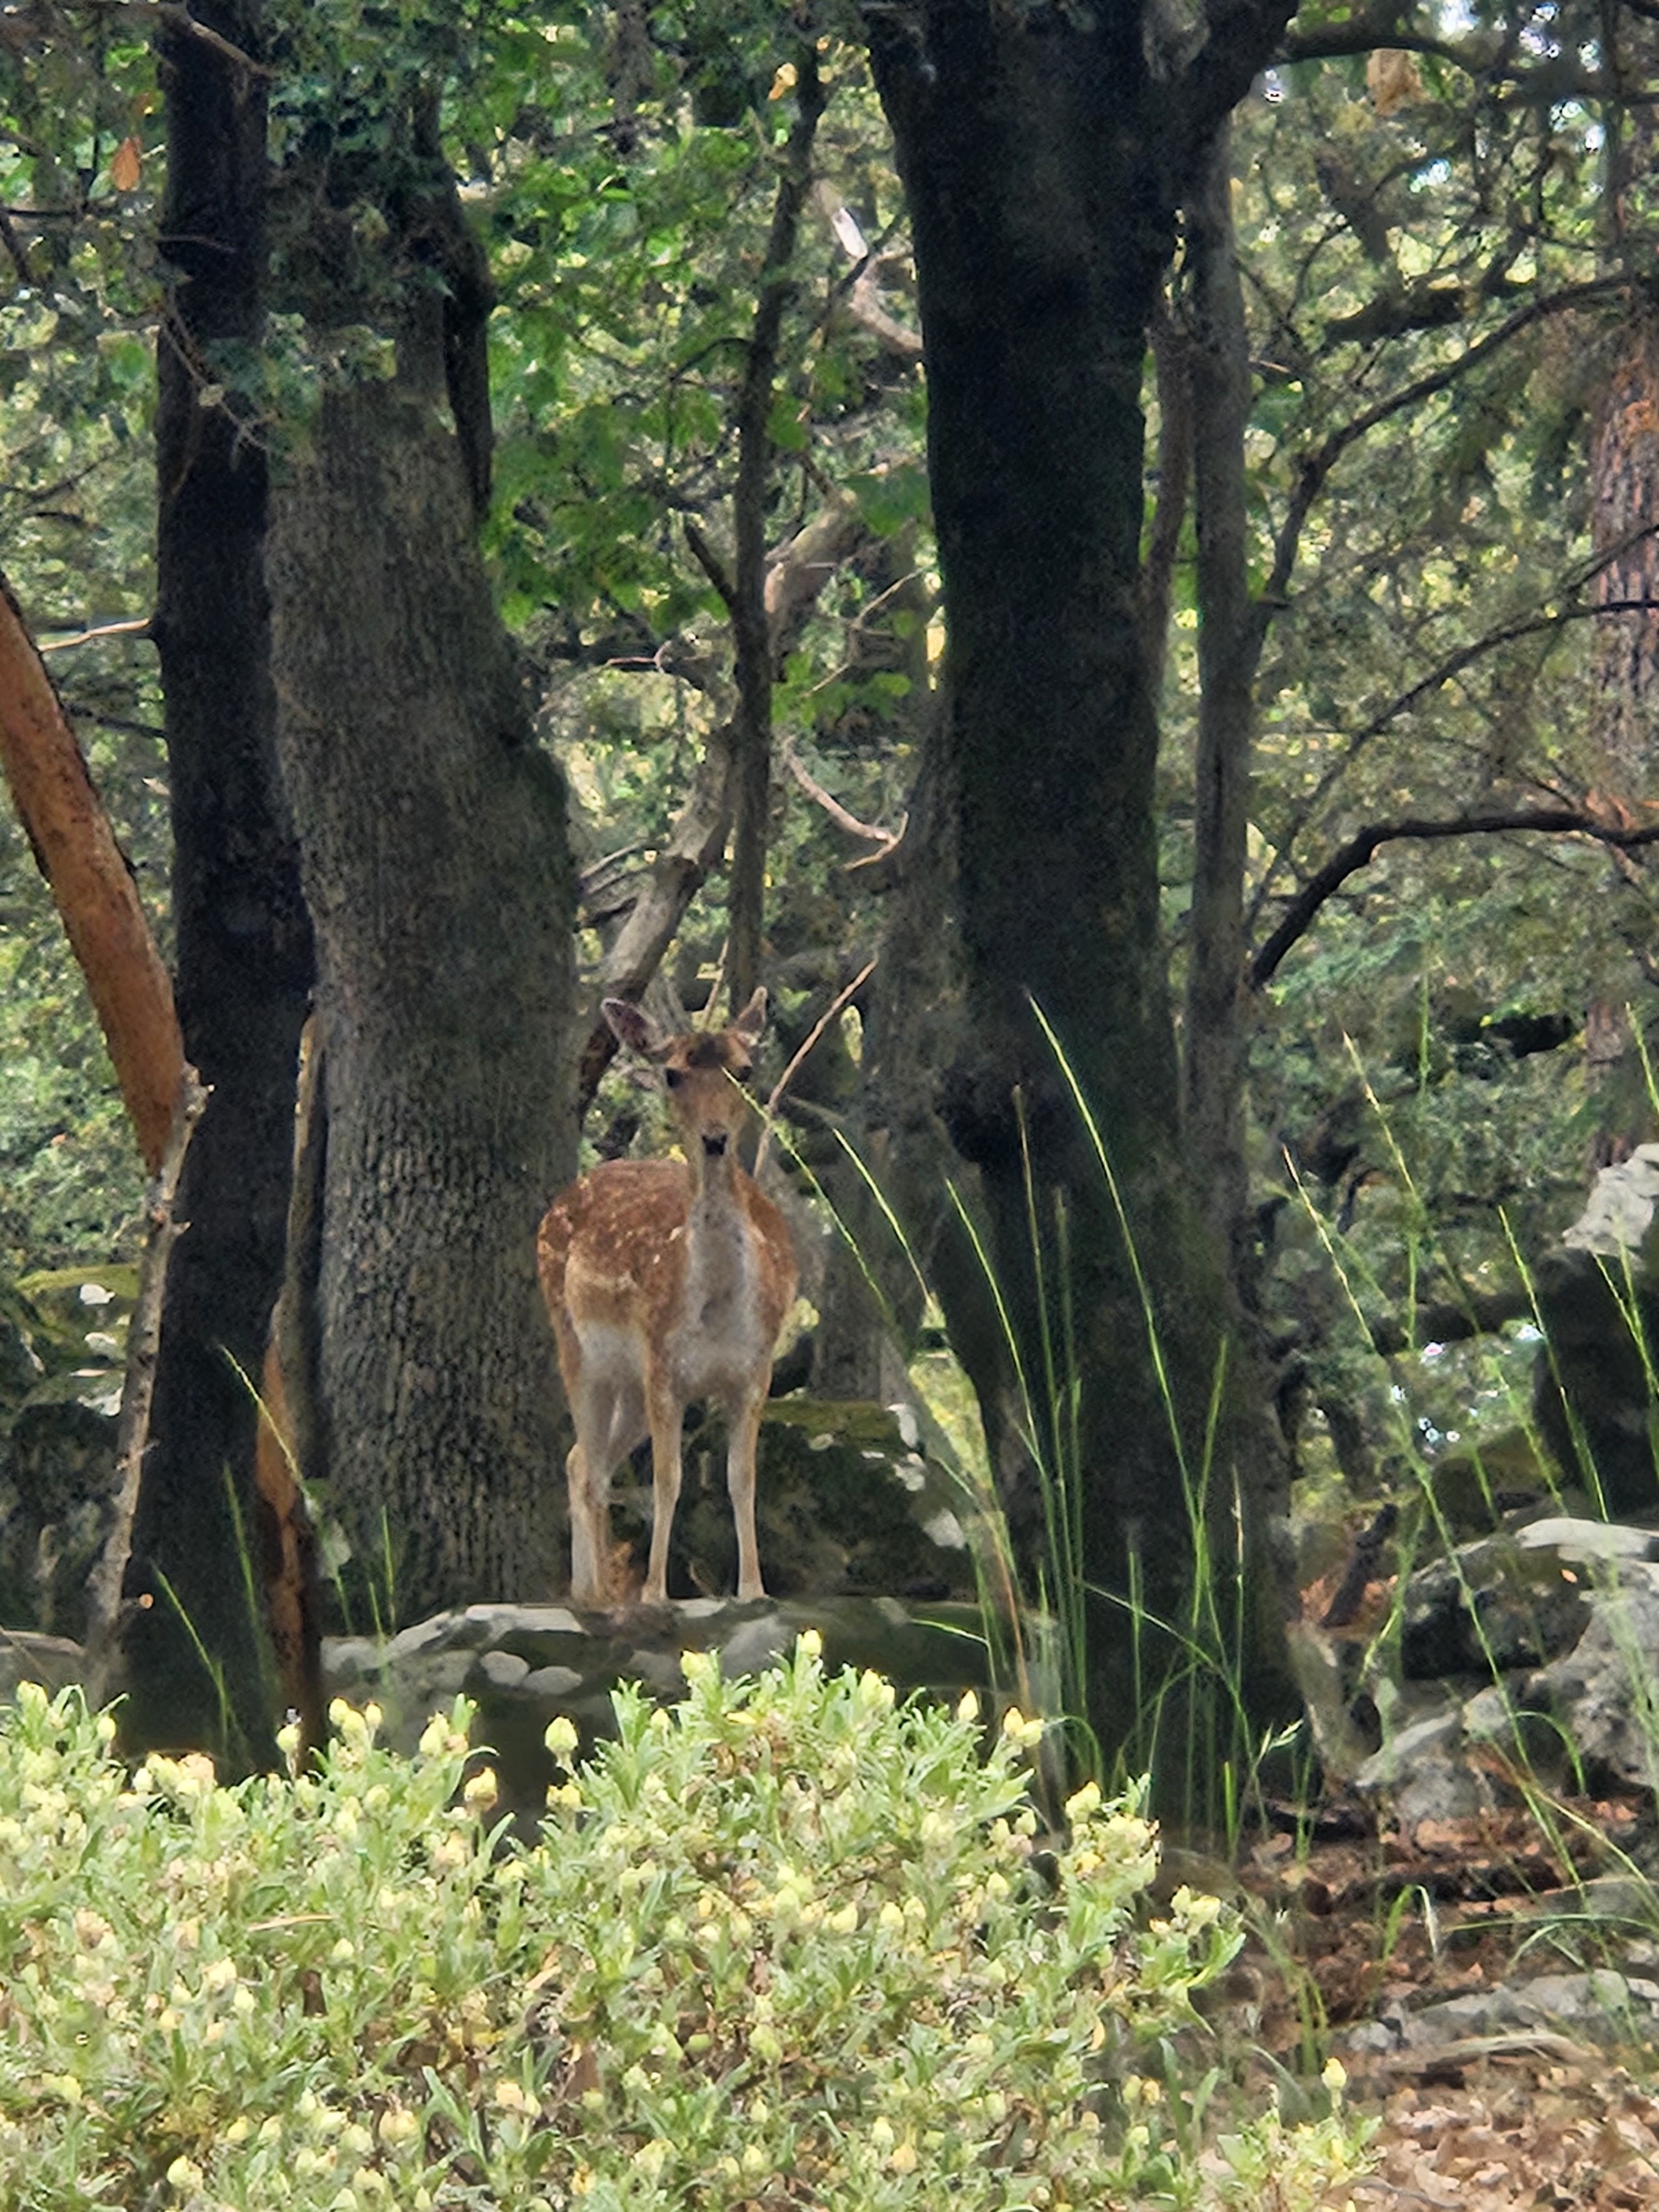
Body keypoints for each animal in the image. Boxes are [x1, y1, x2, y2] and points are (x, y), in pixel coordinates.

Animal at [537, 989, 798, 1607]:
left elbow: (741, 1478)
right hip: (576, 1346)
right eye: (673, 1073)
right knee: (591, 1468)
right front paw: (655, 1594)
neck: (720, 1312)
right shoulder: (662, 1364)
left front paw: (754, 1591)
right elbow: (668, 1478)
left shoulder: (756, 1370)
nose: (715, 1139)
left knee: (581, 1459)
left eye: (744, 1070)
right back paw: (602, 1597)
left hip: (627, 1384)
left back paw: (586, 1591)